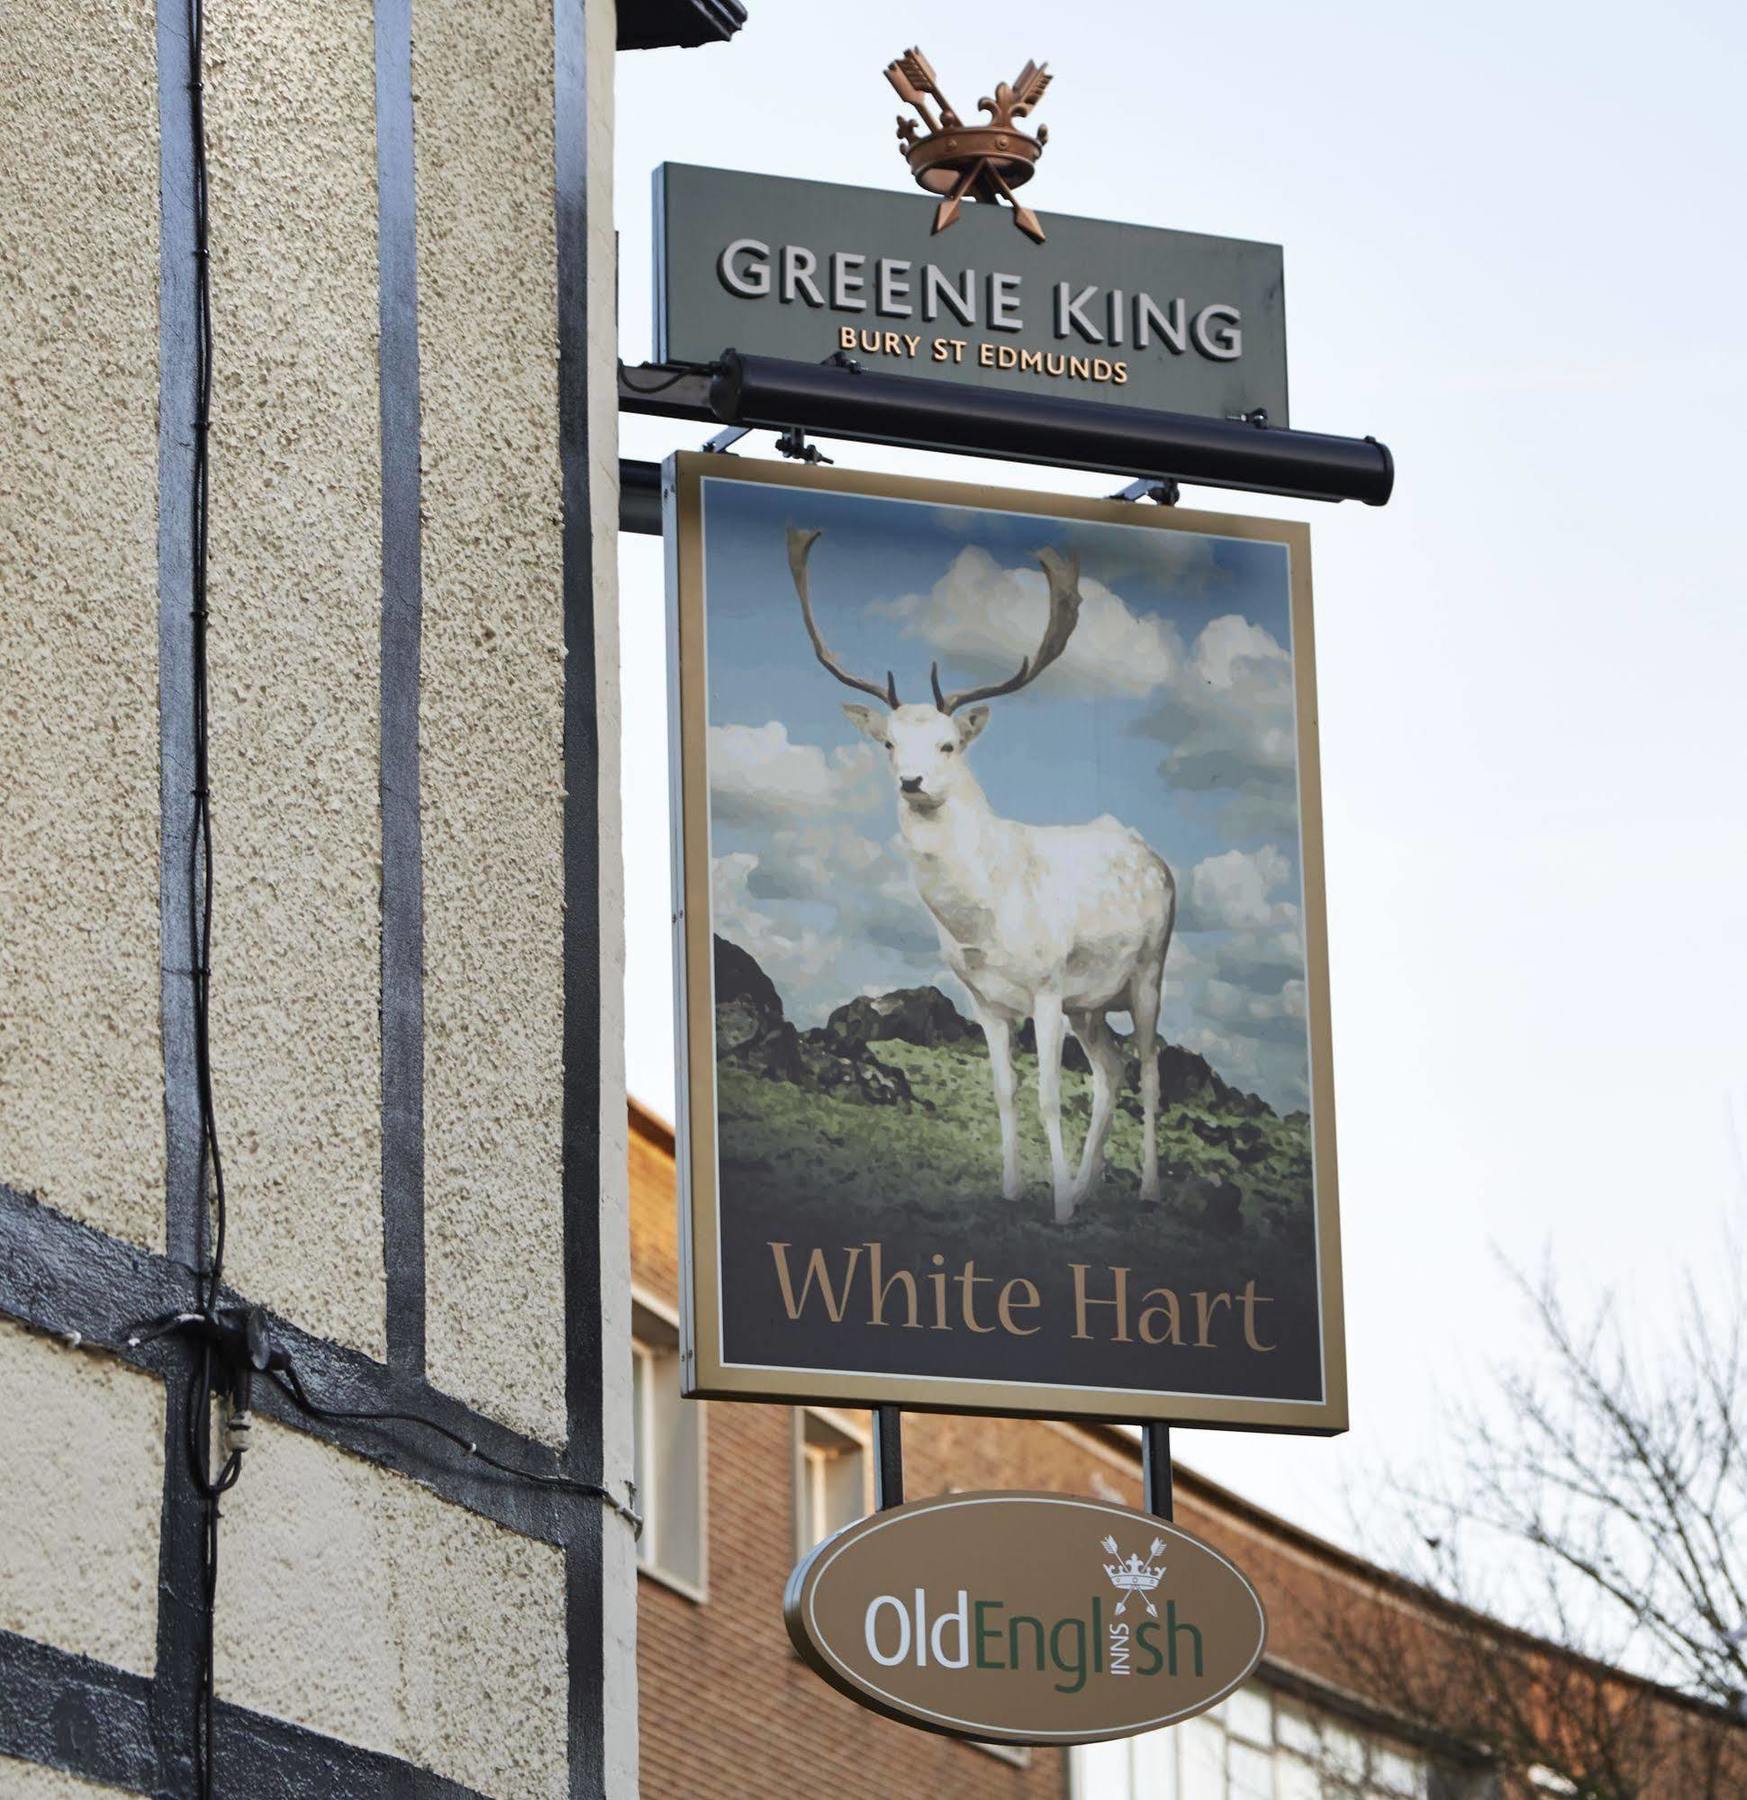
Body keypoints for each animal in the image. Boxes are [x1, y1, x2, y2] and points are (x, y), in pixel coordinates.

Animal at [788, 525, 1173, 1224]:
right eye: (889, 743)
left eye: (949, 744)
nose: (913, 781)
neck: (981, 919)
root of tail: (1156, 857)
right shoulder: (985, 1001)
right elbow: (1004, 1091)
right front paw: (1016, 1189)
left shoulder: (1046, 986)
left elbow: (1048, 1095)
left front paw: (1058, 1209)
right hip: (1090, 1002)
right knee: (1111, 1070)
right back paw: (1088, 1184)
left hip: (1150, 971)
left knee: (1151, 1070)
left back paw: (1146, 1188)